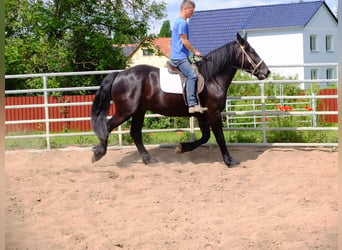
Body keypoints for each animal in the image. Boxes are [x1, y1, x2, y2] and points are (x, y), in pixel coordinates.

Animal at [90, 32, 270, 166]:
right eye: (251, 51)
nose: (266, 71)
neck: (212, 78)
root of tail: (120, 74)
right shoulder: (214, 112)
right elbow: (219, 137)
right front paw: (229, 160)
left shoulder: (202, 114)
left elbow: (205, 137)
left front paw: (181, 148)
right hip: (126, 110)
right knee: (107, 126)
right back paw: (98, 153)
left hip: (139, 111)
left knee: (135, 133)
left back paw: (148, 159)